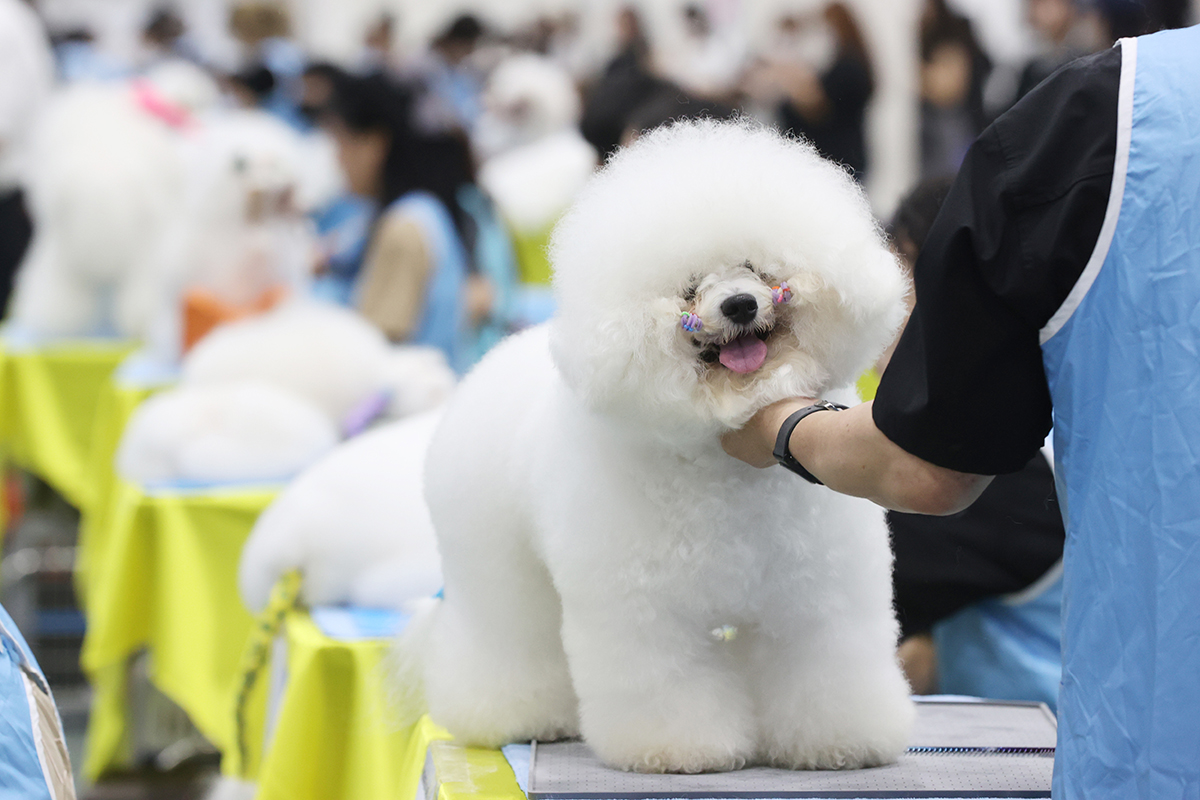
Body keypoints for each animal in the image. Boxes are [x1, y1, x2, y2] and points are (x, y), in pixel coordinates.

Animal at [398, 120, 912, 777]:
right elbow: (665, 682)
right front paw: (680, 750)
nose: (740, 305)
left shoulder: (819, 596)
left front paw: (838, 741)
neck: (722, 461)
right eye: (690, 288)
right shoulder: (646, 612)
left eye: (752, 267)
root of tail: (492, 362)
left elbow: (822, 665)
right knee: (508, 638)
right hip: (496, 570)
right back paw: (516, 715)